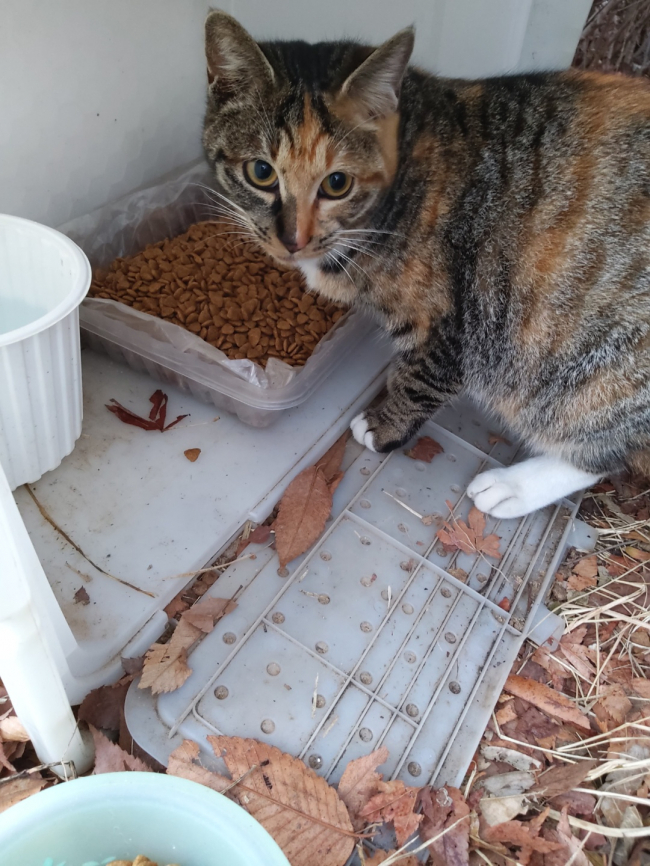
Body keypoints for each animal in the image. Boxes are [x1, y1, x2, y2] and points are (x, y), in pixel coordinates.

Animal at [202, 10, 650, 519]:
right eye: (261, 172)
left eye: (337, 183)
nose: (292, 240)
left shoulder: (456, 321)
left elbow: (421, 379)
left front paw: (384, 426)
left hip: (593, 376)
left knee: (603, 453)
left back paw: (513, 487)